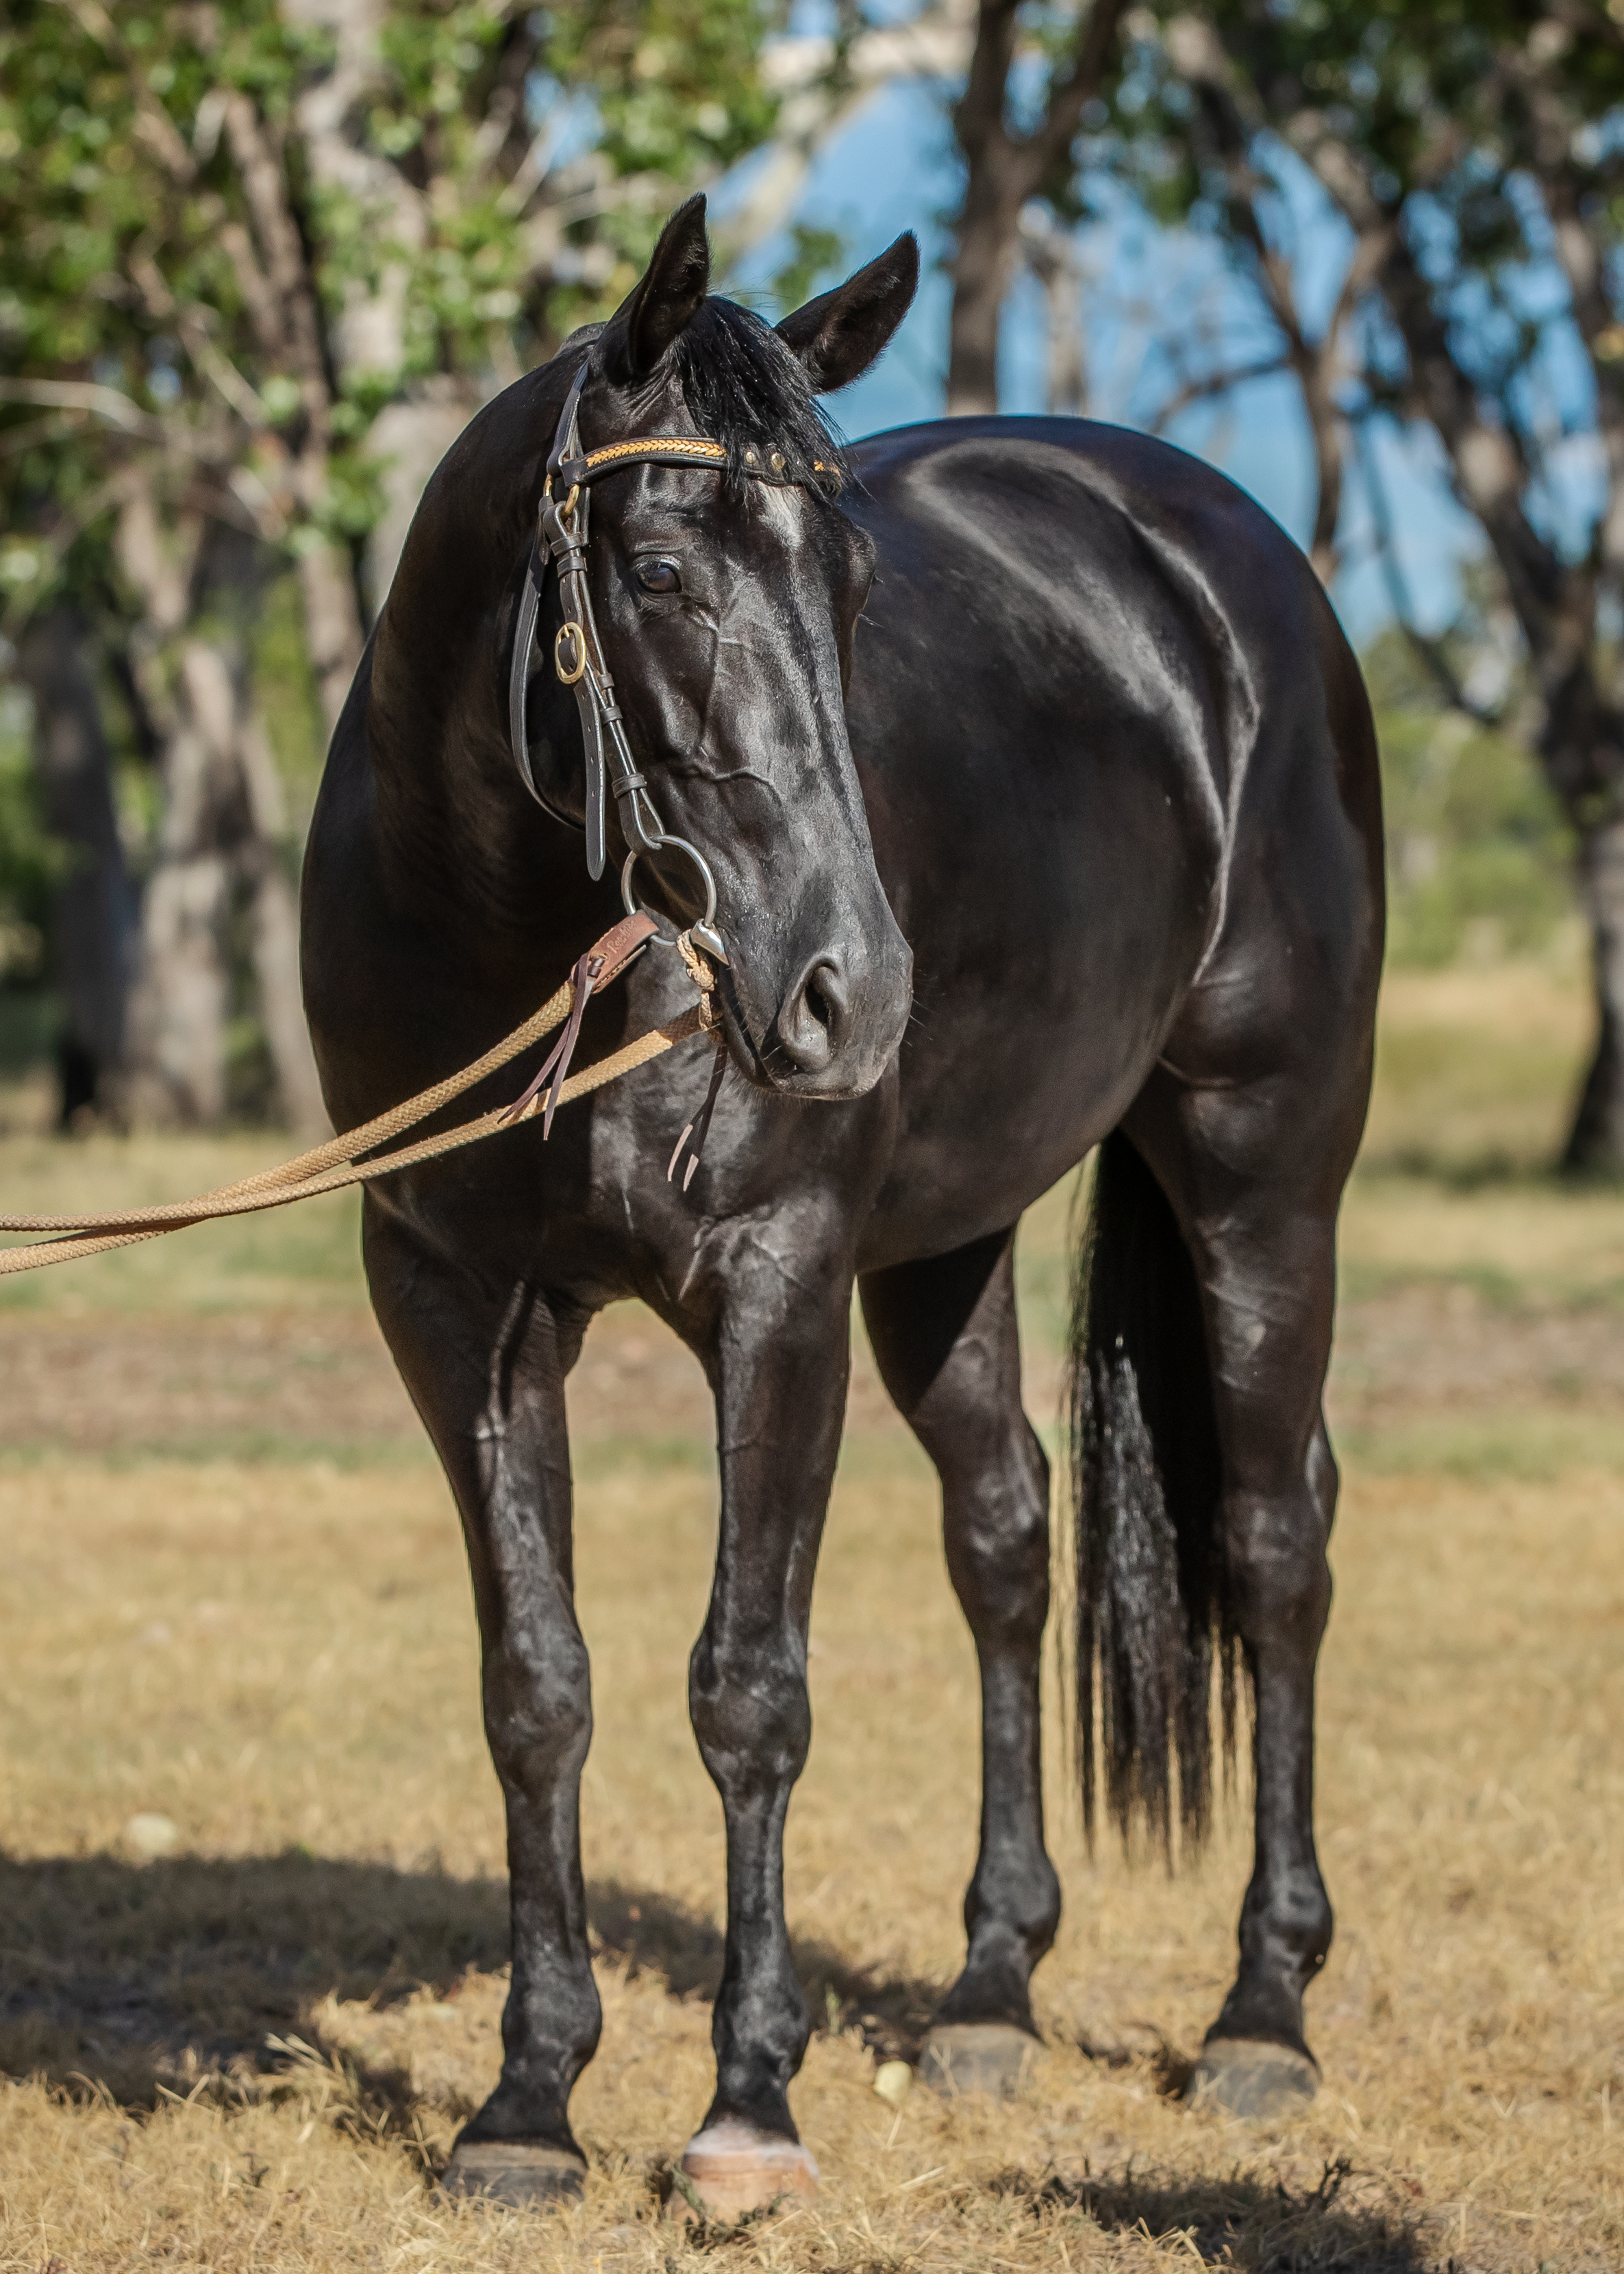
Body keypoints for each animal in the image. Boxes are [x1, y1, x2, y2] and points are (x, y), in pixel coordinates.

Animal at [300, 194, 1383, 2217]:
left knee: (1277, 1536)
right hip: (947, 1245)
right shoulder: (454, 1303)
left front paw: (746, 2106)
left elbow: (748, 1688)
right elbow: (535, 1686)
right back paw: (987, 1993)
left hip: (1262, 1171)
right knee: (1007, 1536)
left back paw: (1261, 2013)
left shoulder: (776, 1286)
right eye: (654, 567)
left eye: (855, 596)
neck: (533, 941)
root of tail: (1222, 563)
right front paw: (527, 2099)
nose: (845, 989)